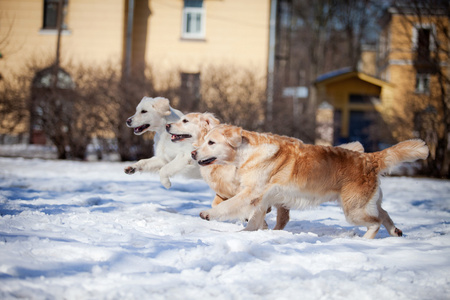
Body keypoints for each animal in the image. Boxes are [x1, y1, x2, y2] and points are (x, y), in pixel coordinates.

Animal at [169, 113, 366, 231]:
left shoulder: (248, 190)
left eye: (185, 121)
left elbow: (237, 205)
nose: (167, 125)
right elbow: (223, 204)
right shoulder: (227, 191)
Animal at [191, 124, 428, 239]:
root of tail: (369, 158)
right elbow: (254, 220)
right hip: (365, 203)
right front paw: (248, 234)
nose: (193, 153)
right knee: (384, 213)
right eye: (204, 141)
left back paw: (365, 241)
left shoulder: (251, 193)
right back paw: (395, 232)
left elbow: (228, 206)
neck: (248, 152)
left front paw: (208, 214)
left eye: (211, 142)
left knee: (376, 222)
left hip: (354, 210)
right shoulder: (262, 198)